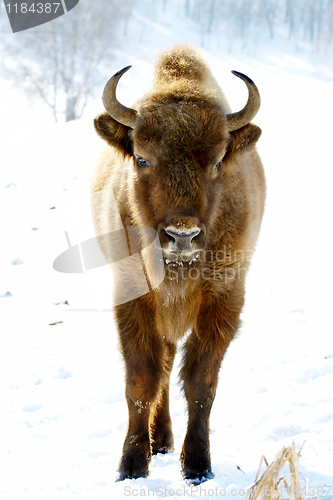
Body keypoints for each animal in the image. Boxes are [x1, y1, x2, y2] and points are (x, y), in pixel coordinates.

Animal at [90, 45, 264, 482]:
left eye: (218, 161)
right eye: (141, 158)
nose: (181, 235)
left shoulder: (224, 299)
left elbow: (201, 384)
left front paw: (198, 466)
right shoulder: (133, 300)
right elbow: (142, 380)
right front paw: (132, 465)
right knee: (163, 370)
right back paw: (161, 440)